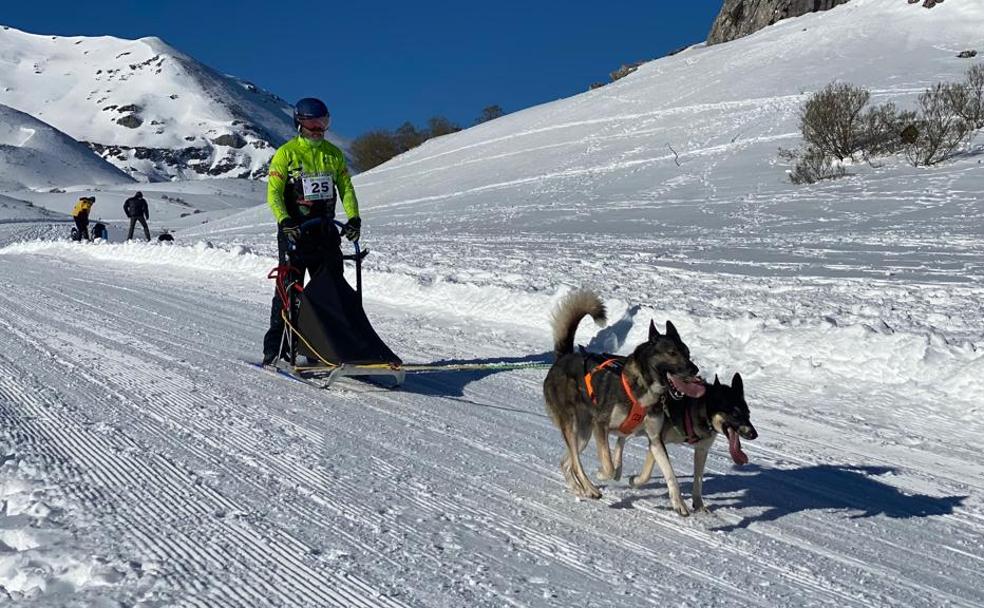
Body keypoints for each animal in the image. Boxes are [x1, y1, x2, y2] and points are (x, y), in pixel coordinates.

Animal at [540, 288, 712, 512]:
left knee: (566, 462)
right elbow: (610, 466)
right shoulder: (601, 426)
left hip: (584, 434)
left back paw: (579, 488)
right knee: (576, 463)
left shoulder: (655, 439)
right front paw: (603, 473)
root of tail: (564, 357)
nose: (694, 369)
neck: (644, 387)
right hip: (573, 426)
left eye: (688, 353)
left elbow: (670, 473)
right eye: (672, 353)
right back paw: (590, 488)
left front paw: (679, 503)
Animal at [596, 372, 756, 516]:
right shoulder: (657, 441)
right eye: (735, 414)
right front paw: (635, 481)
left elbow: (698, 481)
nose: (754, 434)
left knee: (621, 439)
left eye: (748, 414)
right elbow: (650, 474)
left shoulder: (701, 450)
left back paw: (617, 468)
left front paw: (699, 506)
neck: (693, 408)